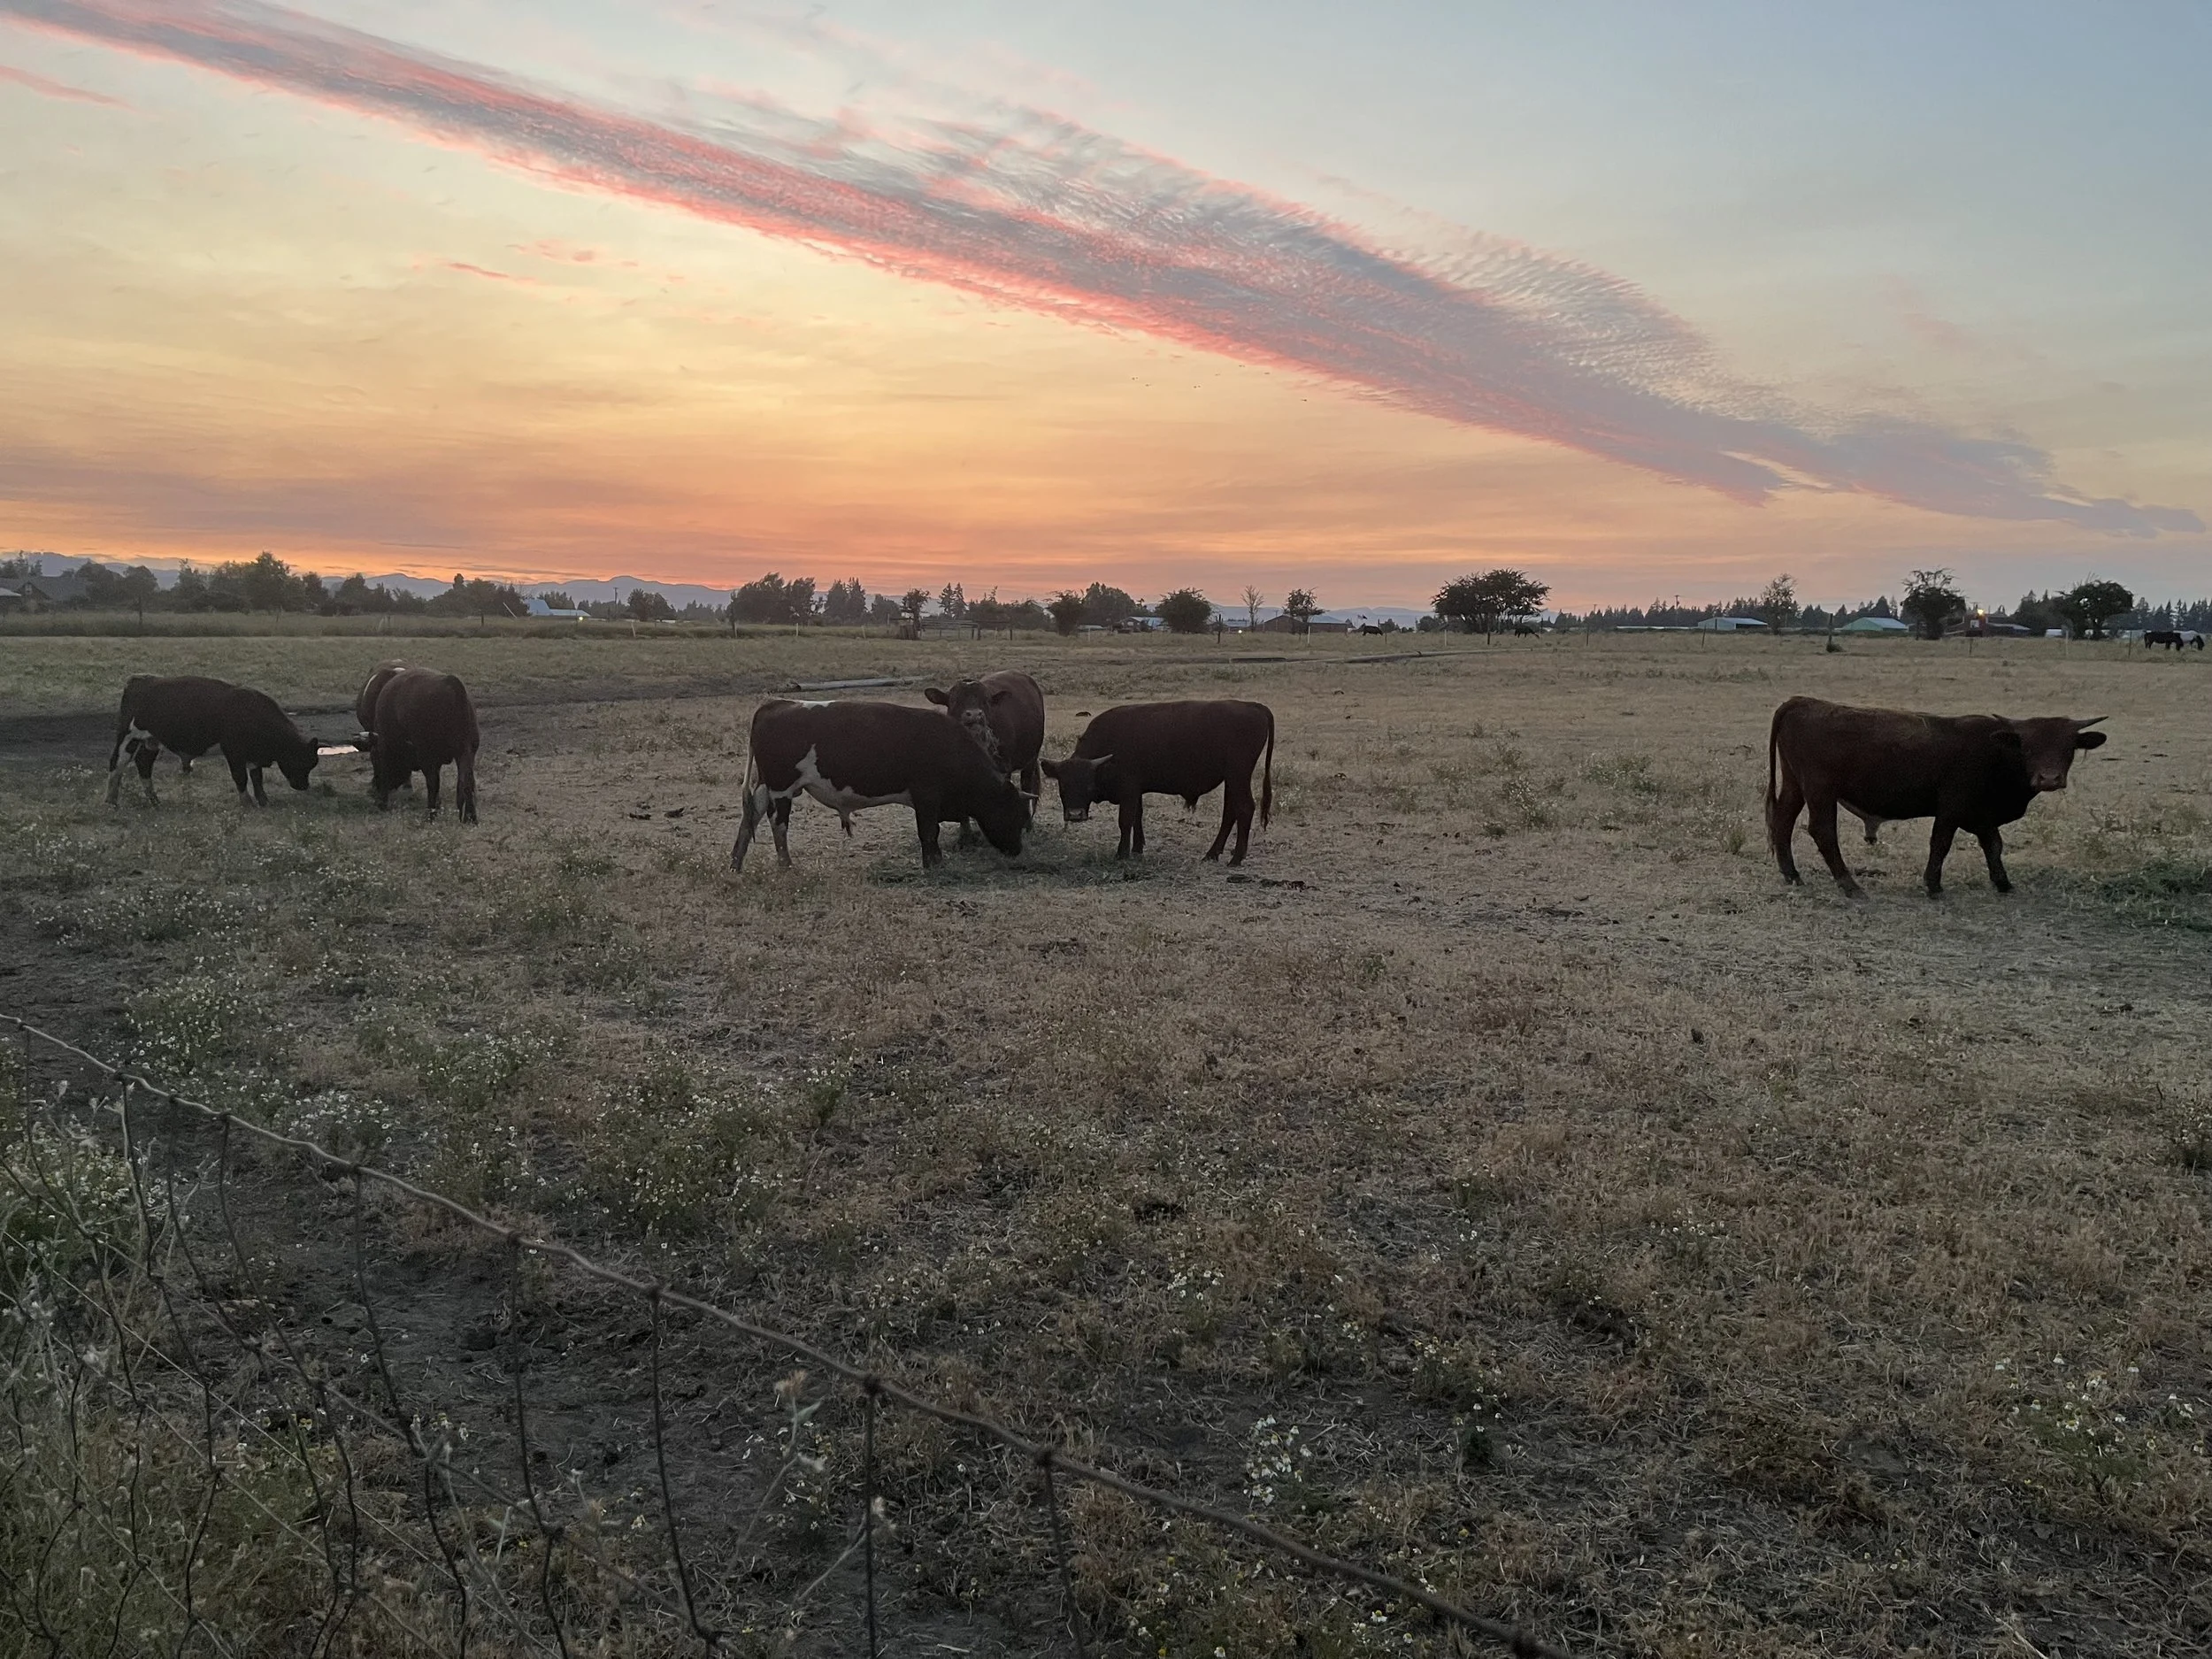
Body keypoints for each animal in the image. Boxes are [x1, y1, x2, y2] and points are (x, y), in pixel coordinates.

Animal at [106, 675, 320, 808]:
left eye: (311, 764)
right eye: (299, 761)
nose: (304, 786)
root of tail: (140, 680)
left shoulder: (253, 755)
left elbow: (257, 778)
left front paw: (263, 800)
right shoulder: (233, 752)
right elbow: (240, 777)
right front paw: (247, 802)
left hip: (151, 741)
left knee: (144, 765)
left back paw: (155, 801)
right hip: (128, 737)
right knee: (116, 765)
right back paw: (111, 801)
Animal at [354, 667, 480, 822]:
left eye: (374, 761)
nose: (374, 792)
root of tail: (452, 684)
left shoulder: (386, 748)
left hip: (431, 756)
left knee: (435, 783)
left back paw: (430, 815)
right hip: (466, 752)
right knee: (466, 782)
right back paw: (470, 817)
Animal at [733, 699, 1027, 871]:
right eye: (1013, 813)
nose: (1017, 850)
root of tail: (778, 704)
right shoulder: (927, 797)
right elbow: (928, 832)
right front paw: (933, 863)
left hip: (767, 786)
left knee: (751, 817)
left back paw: (736, 862)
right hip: (782, 789)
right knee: (778, 825)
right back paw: (785, 866)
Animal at [1041, 699, 1275, 865]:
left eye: (1089, 785)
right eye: (1063, 786)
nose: (1075, 815)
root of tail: (1253, 706)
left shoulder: (1129, 790)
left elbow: (1125, 821)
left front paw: (1122, 853)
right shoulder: (1136, 792)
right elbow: (1137, 817)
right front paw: (1137, 848)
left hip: (1238, 776)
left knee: (1245, 809)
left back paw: (1236, 858)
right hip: (1231, 781)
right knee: (1230, 813)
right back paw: (1212, 854)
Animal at [1766, 695, 2106, 899]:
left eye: (2068, 747)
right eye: (2028, 746)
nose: (2049, 778)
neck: (1995, 751)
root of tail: (1804, 702)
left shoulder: (1982, 816)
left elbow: (1994, 846)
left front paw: (2003, 882)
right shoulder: (1951, 808)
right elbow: (1941, 844)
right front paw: (1933, 885)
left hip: (1796, 785)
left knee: (1783, 821)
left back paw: (1792, 874)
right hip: (1820, 791)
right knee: (1822, 831)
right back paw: (1850, 885)